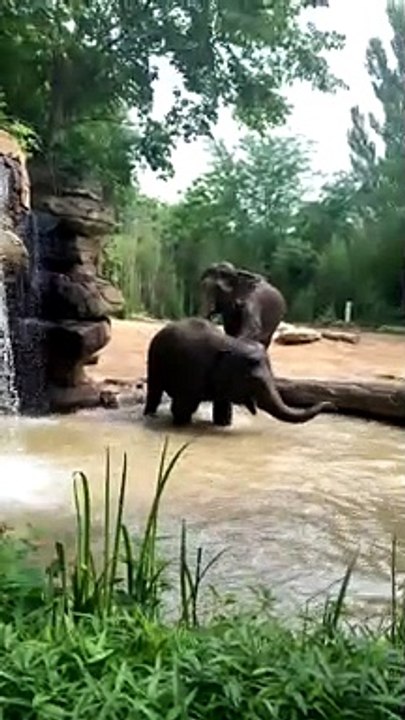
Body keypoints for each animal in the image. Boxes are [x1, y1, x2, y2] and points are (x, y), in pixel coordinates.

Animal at [144, 317, 333, 427]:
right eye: (252, 379)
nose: (329, 403)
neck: (229, 343)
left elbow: (223, 411)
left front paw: (224, 424)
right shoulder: (192, 371)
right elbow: (182, 408)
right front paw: (182, 425)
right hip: (154, 360)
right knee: (155, 391)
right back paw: (150, 415)